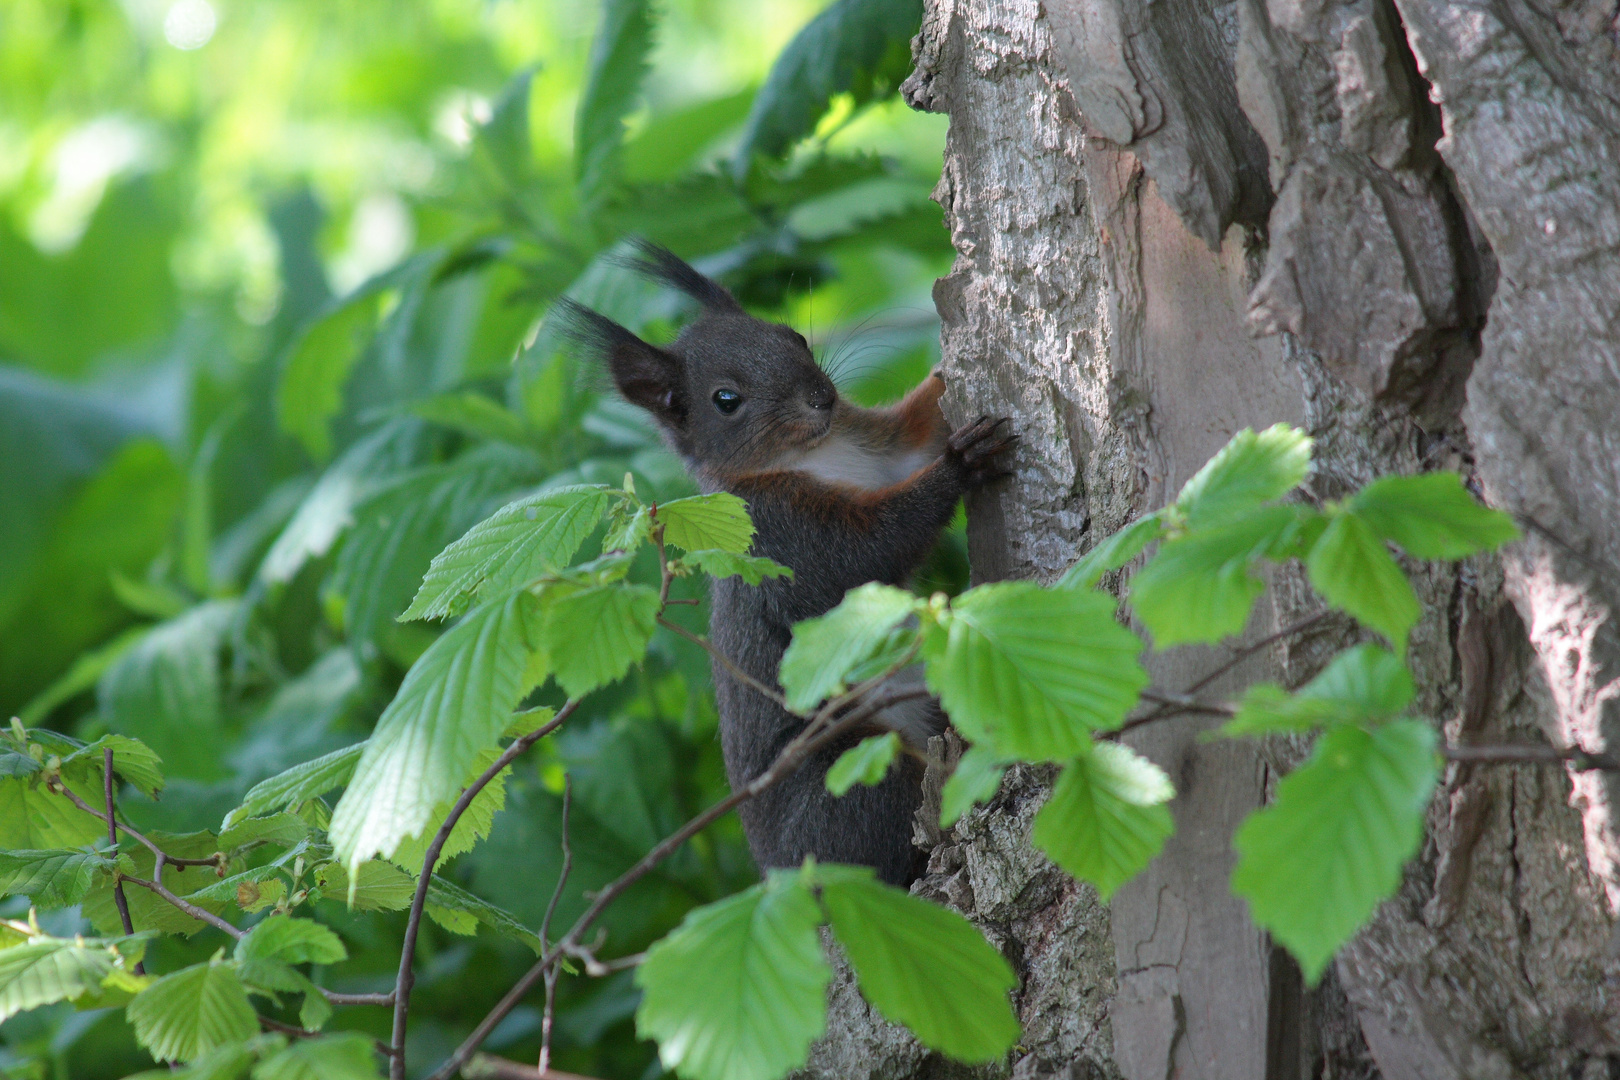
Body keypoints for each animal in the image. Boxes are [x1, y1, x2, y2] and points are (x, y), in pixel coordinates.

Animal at [560, 244, 1010, 887]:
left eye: (792, 335)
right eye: (726, 400)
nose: (821, 398)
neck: (818, 453)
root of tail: (777, 874)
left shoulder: (881, 448)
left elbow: (918, 427)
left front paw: (945, 364)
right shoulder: (783, 537)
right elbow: (872, 549)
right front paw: (961, 463)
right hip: (853, 772)